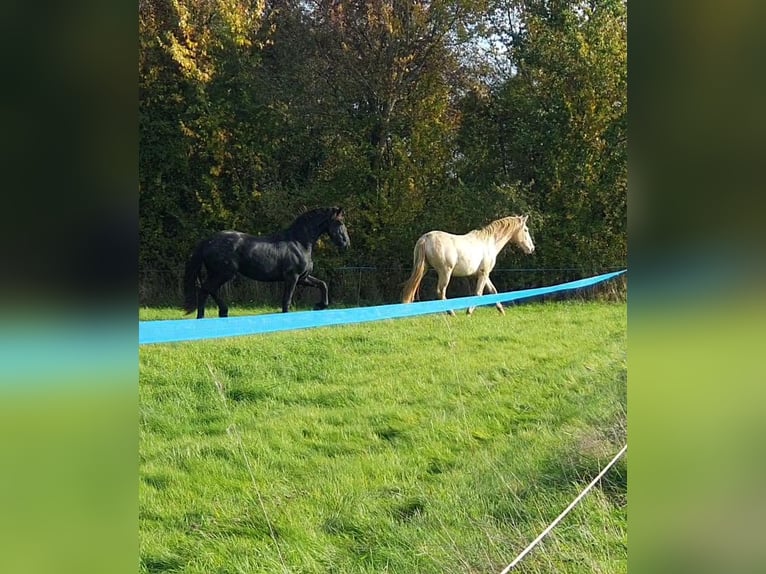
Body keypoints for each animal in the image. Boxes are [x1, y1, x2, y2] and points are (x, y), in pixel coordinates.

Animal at [183, 207, 350, 318]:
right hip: (224, 273)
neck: (299, 242)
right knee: (206, 289)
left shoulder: (303, 278)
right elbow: (287, 300)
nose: (346, 243)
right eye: (339, 223)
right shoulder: (292, 277)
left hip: (217, 273)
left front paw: (320, 306)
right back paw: (221, 312)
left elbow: (323, 284)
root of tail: (207, 241)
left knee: (206, 290)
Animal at [401, 214, 535, 315]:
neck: (489, 242)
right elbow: (478, 293)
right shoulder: (483, 274)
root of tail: (426, 238)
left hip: (423, 269)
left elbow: (493, 291)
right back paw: (451, 313)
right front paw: (469, 312)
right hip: (445, 272)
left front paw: (501, 311)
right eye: (526, 230)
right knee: (441, 292)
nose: (531, 248)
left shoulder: (484, 274)